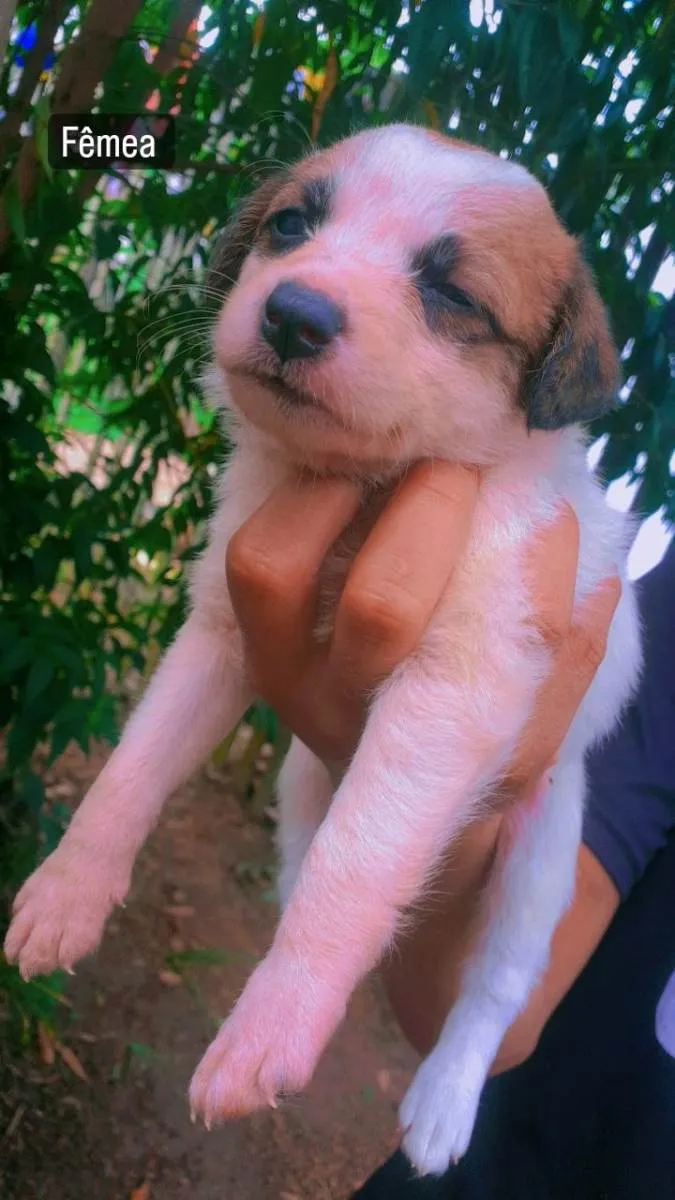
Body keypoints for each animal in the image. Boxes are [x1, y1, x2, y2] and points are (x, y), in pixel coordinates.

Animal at [2, 126, 638, 1176]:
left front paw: (269, 1035)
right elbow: (129, 776)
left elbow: (359, 864)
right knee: (305, 869)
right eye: (292, 225)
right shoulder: (217, 633)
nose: (293, 314)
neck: (365, 492)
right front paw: (66, 894)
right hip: (301, 783)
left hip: (539, 856)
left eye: (451, 292)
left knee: (491, 990)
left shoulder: (450, 691)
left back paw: (440, 1098)